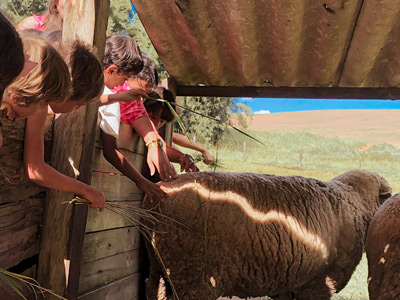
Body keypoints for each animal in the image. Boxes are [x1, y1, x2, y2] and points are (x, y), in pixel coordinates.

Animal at [143, 170, 390, 298]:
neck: (354, 201)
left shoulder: (291, 282)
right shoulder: (319, 282)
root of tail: (158, 194)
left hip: (160, 270)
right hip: (193, 274)